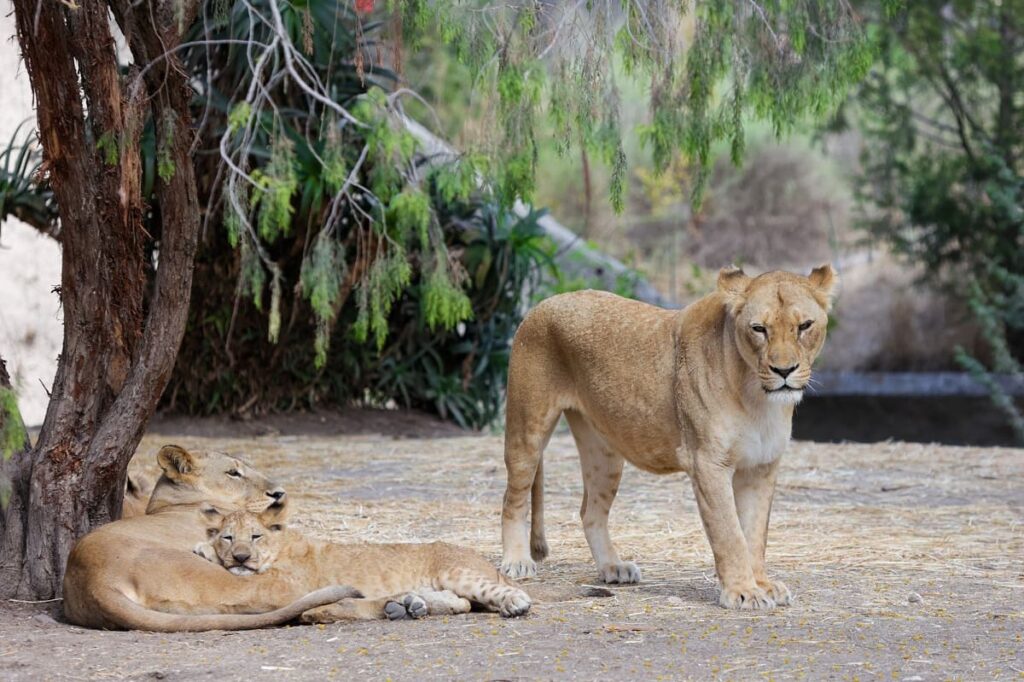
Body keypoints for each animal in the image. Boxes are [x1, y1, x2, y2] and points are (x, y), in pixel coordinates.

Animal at [193, 505, 532, 620]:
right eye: (228, 538)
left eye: (255, 536)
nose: (241, 556)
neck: (280, 545)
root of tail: (485, 560)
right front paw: (206, 549)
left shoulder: (284, 585)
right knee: (458, 602)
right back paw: (412, 606)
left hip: (456, 571)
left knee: (495, 592)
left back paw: (515, 604)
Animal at [500, 265, 837, 610]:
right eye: (758, 329)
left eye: (804, 326)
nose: (784, 371)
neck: (757, 396)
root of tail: (543, 303)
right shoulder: (707, 463)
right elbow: (730, 534)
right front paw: (743, 591)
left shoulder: (761, 467)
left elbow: (754, 535)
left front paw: (763, 585)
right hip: (528, 430)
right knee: (513, 500)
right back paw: (518, 562)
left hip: (604, 453)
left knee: (590, 512)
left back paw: (613, 567)